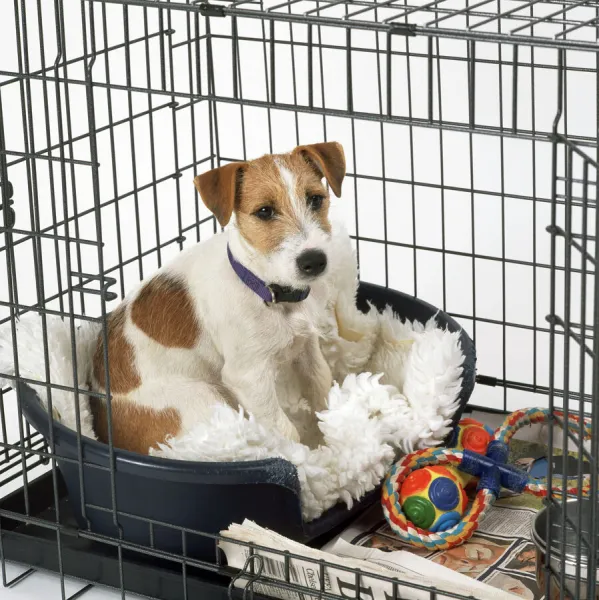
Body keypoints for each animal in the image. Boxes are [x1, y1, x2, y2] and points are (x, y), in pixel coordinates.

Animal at [91, 142, 350, 454]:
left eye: (315, 199)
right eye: (264, 211)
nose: (314, 261)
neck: (264, 288)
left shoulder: (307, 349)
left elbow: (323, 393)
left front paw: (329, 443)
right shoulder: (249, 377)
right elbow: (285, 430)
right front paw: (305, 460)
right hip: (201, 400)